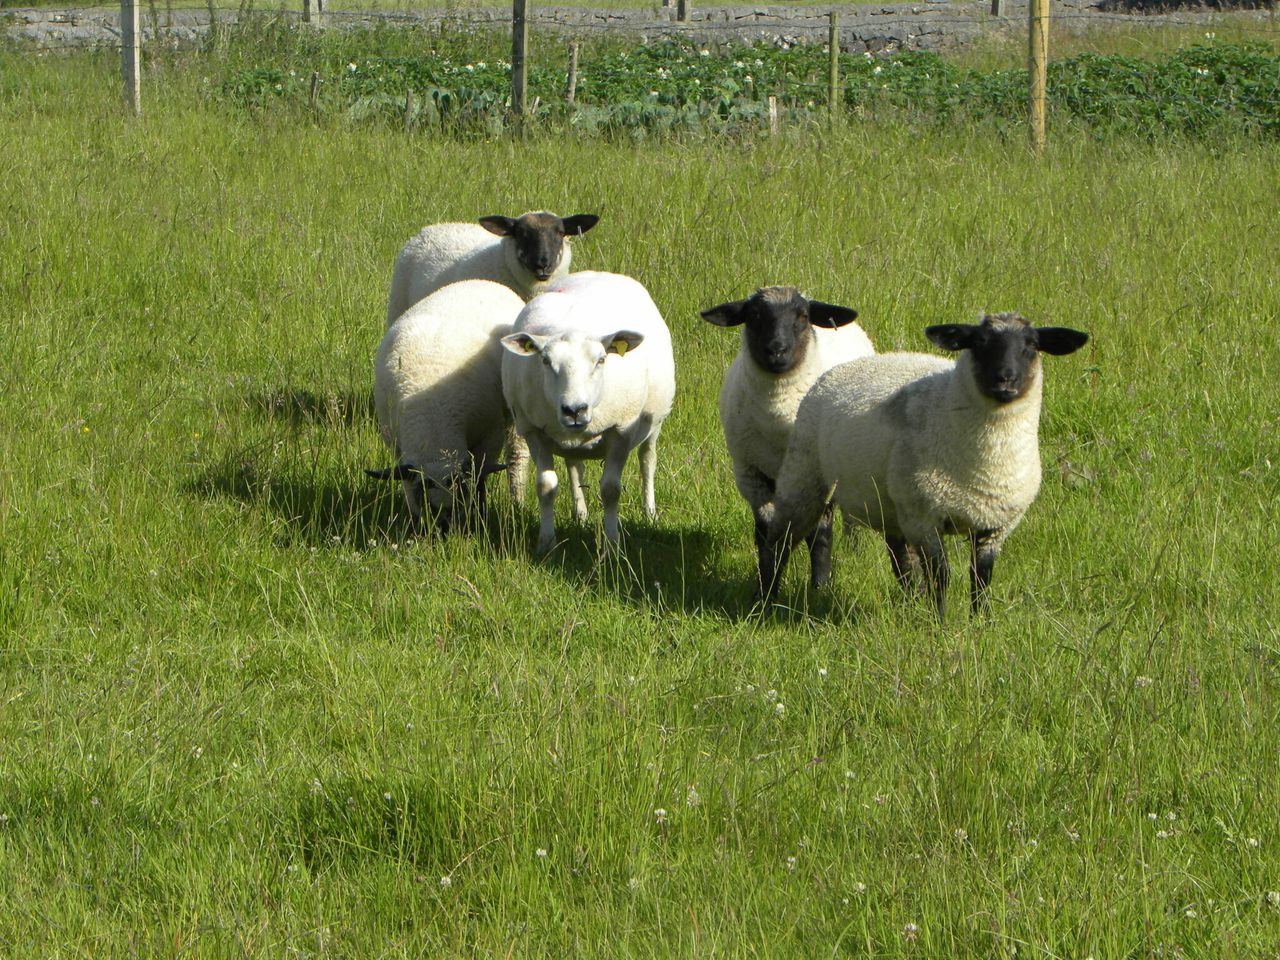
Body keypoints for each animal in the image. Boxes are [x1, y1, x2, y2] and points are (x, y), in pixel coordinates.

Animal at [368, 279, 527, 533]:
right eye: (422, 493)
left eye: (459, 490)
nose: (442, 527)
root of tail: (481, 281)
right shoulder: (398, 447)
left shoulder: (489, 436)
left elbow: (480, 478)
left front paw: (479, 516)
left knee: (516, 457)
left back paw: (517, 500)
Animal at [500, 271, 675, 553]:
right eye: (545, 361)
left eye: (601, 360)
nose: (574, 410)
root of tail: (597, 273)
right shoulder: (533, 430)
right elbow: (545, 487)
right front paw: (546, 543)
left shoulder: (621, 430)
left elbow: (611, 490)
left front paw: (612, 545)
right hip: (569, 440)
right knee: (574, 466)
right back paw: (580, 515)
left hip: (654, 420)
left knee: (647, 460)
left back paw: (649, 513)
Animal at [702, 285, 874, 588]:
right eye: (754, 315)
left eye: (803, 316)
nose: (776, 350)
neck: (778, 415)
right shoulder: (751, 474)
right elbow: (766, 531)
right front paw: (766, 584)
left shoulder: (820, 477)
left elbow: (820, 532)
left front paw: (820, 585)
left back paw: (855, 545)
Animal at [758, 312, 1089, 620]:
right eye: (979, 342)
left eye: (1031, 345)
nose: (1005, 378)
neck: (985, 465)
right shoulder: (925, 517)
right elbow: (940, 575)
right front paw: (940, 622)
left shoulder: (994, 524)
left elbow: (981, 577)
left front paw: (980, 621)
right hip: (805, 477)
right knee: (779, 541)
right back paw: (766, 599)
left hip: (889, 505)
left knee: (899, 556)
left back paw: (910, 601)